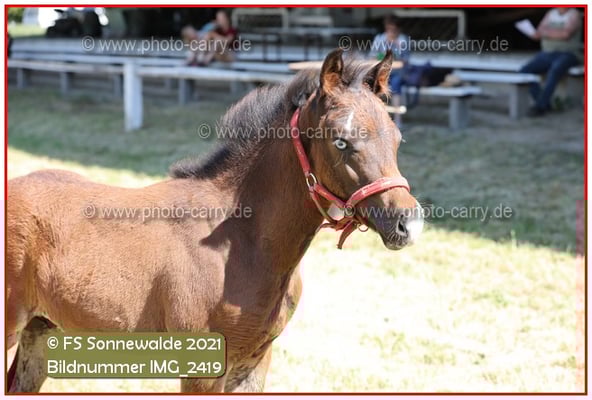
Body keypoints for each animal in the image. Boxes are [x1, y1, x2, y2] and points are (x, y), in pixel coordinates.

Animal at [6, 49, 423, 393]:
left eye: (397, 138)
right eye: (340, 141)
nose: (408, 223)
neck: (242, 243)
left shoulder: (256, 361)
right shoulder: (203, 368)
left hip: (39, 330)